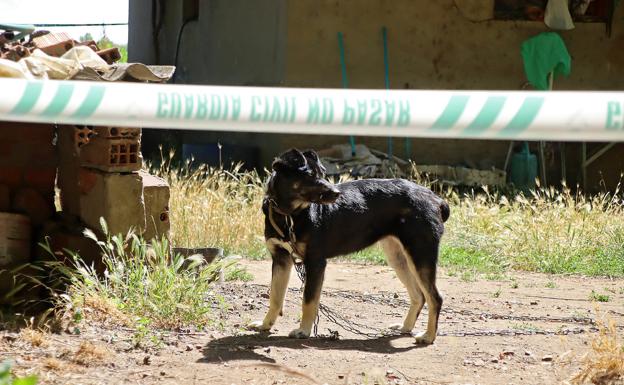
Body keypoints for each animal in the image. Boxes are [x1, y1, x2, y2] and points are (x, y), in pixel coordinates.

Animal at [249, 148, 448, 344]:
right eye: (310, 175)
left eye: (323, 173)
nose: (337, 193)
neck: (289, 215)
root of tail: (435, 198)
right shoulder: (280, 258)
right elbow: (275, 297)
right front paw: (265, 325)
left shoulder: (315, 262)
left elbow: (308, 301)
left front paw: (303, 331)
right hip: (398, 258)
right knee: (419, 296)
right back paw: (405, 327)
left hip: (420, 255)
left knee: (435, 298)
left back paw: (428, 336)